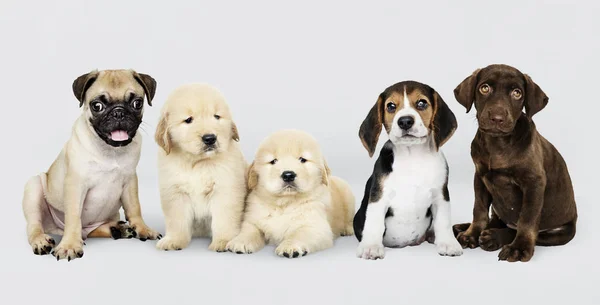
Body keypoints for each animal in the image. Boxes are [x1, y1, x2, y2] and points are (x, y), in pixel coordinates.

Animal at [22, 69, 161, 262]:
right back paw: (41, 241)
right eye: (97, 106)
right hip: (34, 187)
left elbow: (135, 208)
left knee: (92, 230)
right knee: (35, 225)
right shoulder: (76, 184)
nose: (119, 112)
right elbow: (73, 217)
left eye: (137, 103)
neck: (110, 150)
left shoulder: (130, 181)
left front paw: (143, 229)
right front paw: (69, 246)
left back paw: (117, 229)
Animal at [157, 83, 248, 252]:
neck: (197, 163)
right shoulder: (175, 192)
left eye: (216, 117)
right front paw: (174, 240)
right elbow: (177, 221)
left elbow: (224, 219)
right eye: (188, 120)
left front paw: (223, 241)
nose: (210, 138)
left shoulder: (225, 190)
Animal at [226, 129, 356, 258]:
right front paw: (240, 242)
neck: (284, 203)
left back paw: (348, 229)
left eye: (303, 159)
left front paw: (290, 247)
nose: (288, 175)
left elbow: (300, 234)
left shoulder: (315, 226)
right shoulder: (254, 219)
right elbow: (249, 231)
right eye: (273, 161)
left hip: (348, 195)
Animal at [352, 80, 464, 258]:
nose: (405, 121)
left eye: (422, 103)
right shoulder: (379, 196)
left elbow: (443, 221)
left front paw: (448, 243)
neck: (412, 156)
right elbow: (374, 222)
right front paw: (371, 246)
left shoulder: (441, 195)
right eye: (391, 106)